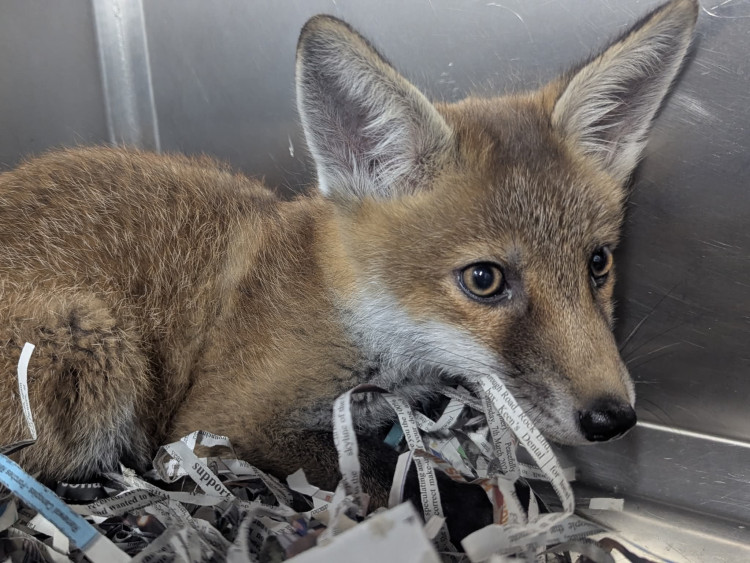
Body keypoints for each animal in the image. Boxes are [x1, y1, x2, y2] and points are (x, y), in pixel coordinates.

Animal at [0, 0, 696, 541]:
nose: (613, 418)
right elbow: (378, 472)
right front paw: (483, 509)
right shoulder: (220, 419)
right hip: (91, 342)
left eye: (598, 263)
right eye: (485, 280)